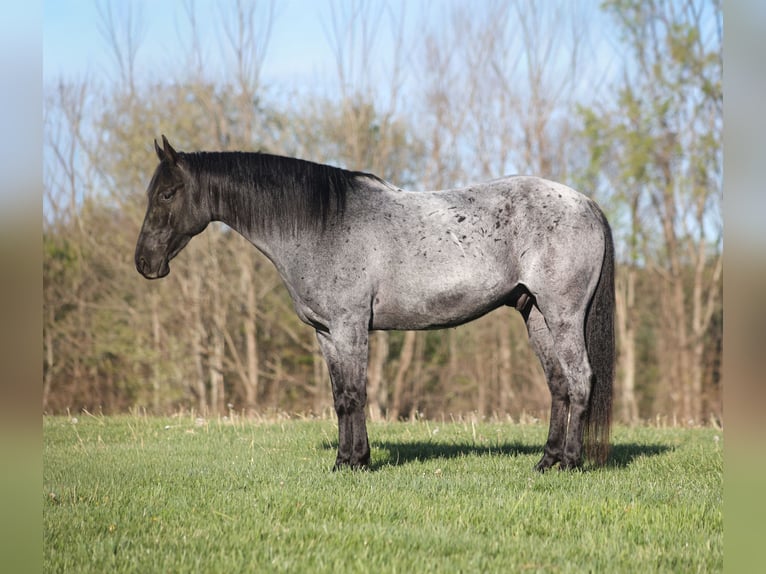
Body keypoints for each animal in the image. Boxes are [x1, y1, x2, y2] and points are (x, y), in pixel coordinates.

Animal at [135, 135, 615, 471]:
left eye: (167, 194)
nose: (144, 263)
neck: (321, 225)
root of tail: (587, 203)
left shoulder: (350, 327)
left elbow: (354, 393)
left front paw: (354, 463)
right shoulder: (327, 333)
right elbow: (340, 397)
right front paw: (347, 458)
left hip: (563, 314)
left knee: (580, 379)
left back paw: (571, 462)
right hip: (536, 315)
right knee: (558, 384)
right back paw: (547, 460)